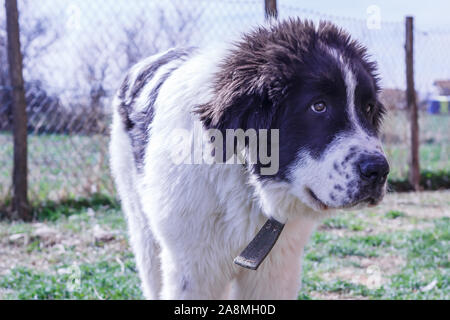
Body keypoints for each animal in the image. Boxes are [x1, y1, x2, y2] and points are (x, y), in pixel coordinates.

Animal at [110, 18, 390, 298]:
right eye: (318, 106)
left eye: (368, 108)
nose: (379, 171)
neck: (244, 179)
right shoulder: (194, 269)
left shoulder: (275, 270)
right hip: (142, 227)